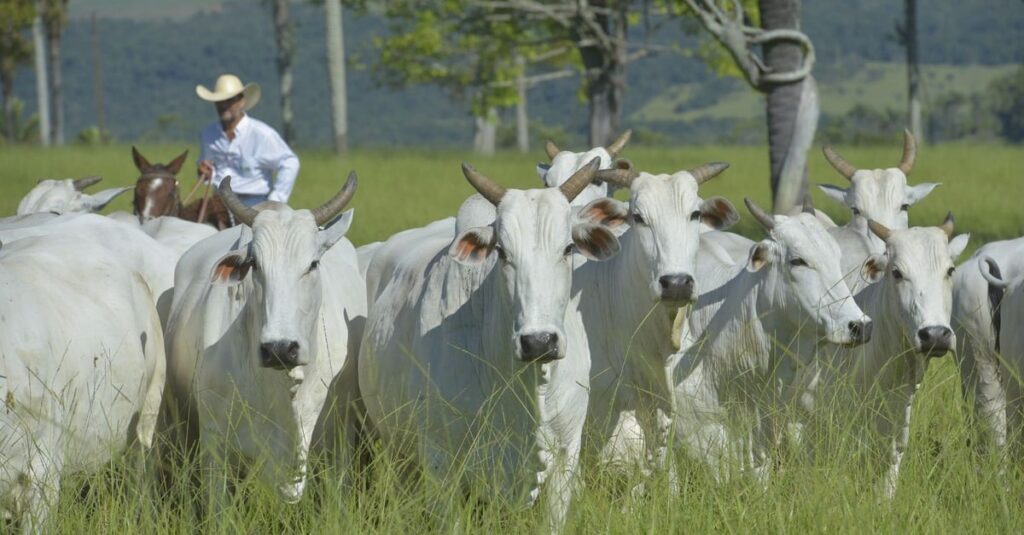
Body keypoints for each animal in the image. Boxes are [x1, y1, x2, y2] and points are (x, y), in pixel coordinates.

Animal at [356, 160, 618, 528]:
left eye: (568, 248)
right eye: (502, 252)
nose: (539, 342)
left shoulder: (566, 456)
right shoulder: (440, 463)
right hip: (398, 451)